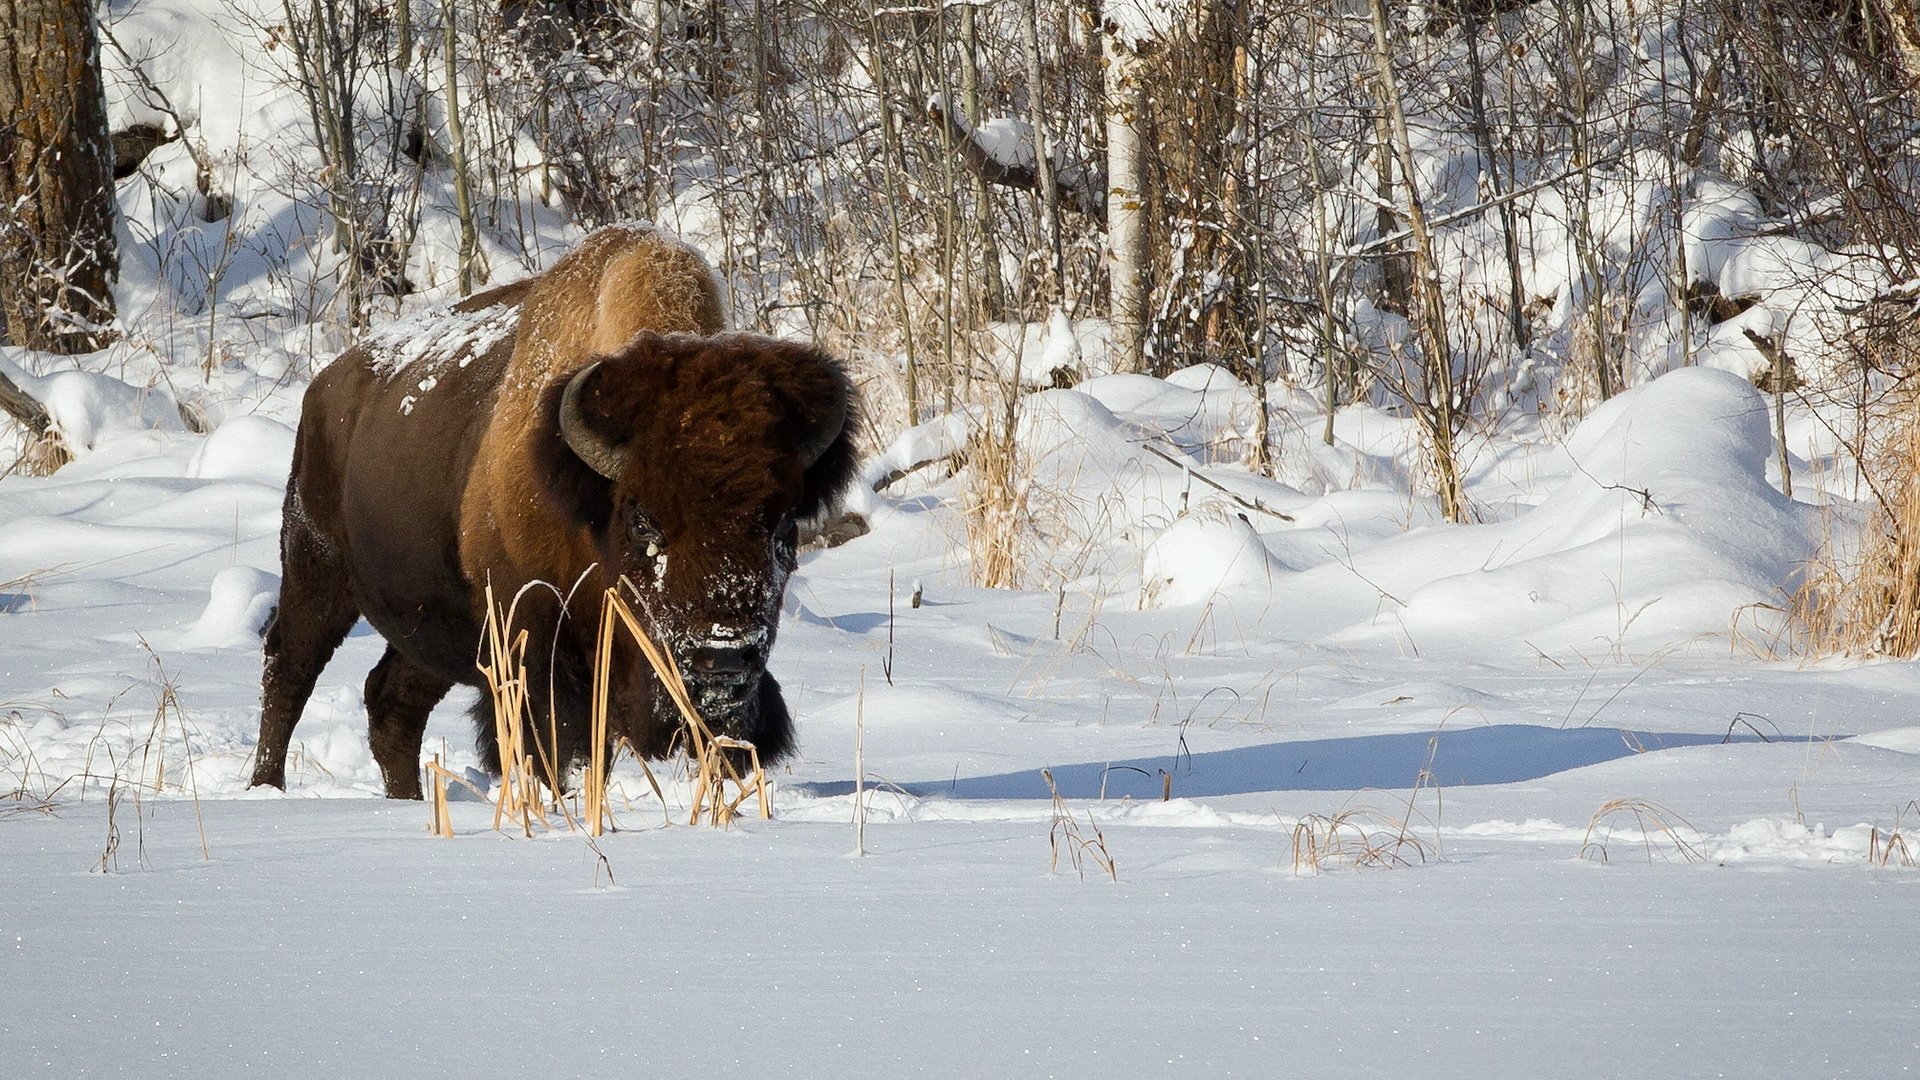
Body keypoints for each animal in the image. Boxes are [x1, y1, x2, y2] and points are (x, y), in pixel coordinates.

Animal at [249, 224, 864, 799]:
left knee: (392, 703)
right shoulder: (534, 657)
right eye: (644, 520)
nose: (725, 659)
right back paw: (265, 789)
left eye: (783, 526)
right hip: (316, 571)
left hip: (432, 625)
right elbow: (552, 750)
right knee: (288, 669)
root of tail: (324, 387)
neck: (589, 507)